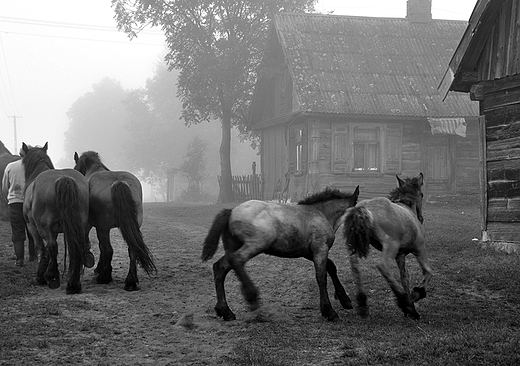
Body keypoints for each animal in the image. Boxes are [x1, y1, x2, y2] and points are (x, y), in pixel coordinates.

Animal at [21, 143, 91, 294]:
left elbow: (42, 249)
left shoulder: (32, 227)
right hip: (79, 225)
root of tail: (64, 178)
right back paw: (73, 283)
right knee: (76, 246)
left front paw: (41, 276)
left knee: (52, 246)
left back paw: (52, 277)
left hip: (44, 228)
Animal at [73, 150, 155, 290]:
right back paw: (131, 281)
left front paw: (99, 269)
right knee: (132, 249)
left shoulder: (92, 225)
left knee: (108, 249)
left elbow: (100, 247)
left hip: (103, 228)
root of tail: (118, 182)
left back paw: (104, 277)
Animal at [201, 187, 360, 322]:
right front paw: (329, 311)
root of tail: (231, 211)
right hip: (256, 244)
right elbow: (321, 277)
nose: (355, 246)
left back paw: (225, 311)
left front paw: (345, 300)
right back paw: (252, 298)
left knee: (220, 267)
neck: (321, 213)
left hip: (234, 247)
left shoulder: (308, 252)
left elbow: (331, 267)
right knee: (237, 260)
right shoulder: (320, 248)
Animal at [344, 173, 432, 318]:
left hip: (357, 244)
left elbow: (404, 278)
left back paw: (363, 304)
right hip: (390, 245)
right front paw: (415, 296)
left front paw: (410, 306)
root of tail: (363, 209)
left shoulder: (400, 255)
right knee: (383, 266)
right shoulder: (419, 248)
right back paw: (405, 303)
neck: (407, 208)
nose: (421, 218)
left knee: (355, 266)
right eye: (422, 194)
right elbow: (428, 271)